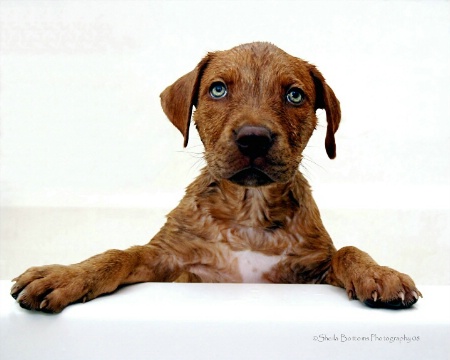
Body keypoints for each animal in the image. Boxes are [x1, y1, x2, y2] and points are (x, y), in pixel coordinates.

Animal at [10, 42, 422, 312]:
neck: (249, 210)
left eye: (294, 95)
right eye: (218, 89)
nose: (253, 137)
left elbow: (347, 251)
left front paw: (378, 273)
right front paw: (67, 275)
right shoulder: (168, 261)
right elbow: (119, 254)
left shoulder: (310, 268)